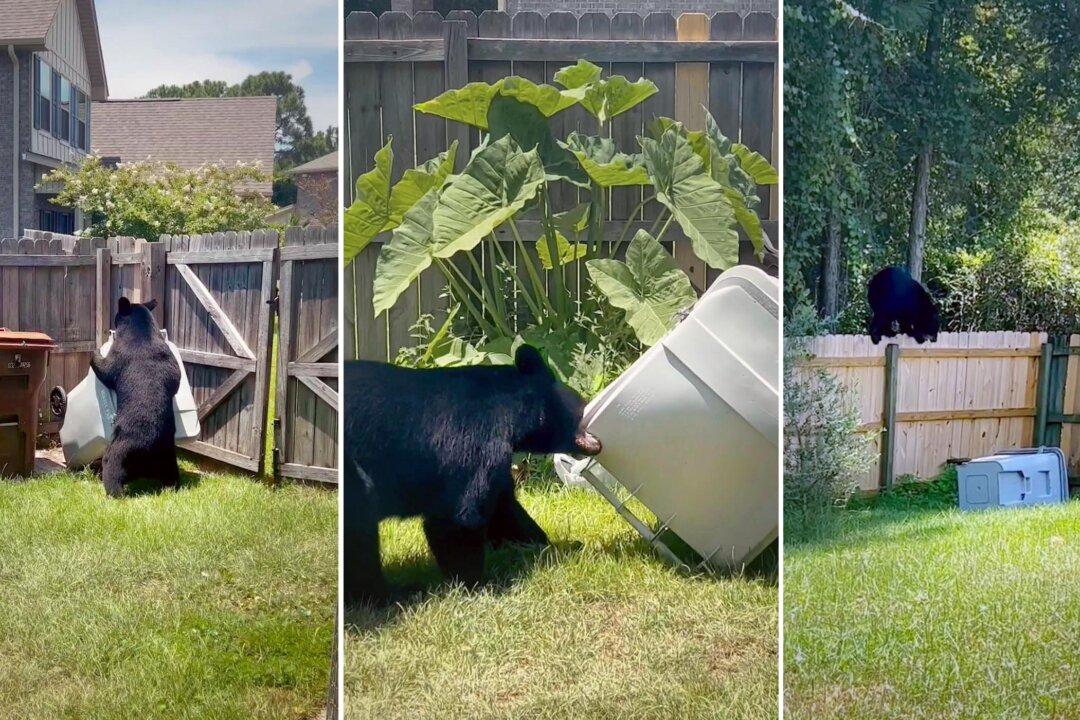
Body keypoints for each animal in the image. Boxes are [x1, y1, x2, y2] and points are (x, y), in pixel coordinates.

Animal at [90, 297, 181, 497]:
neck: (142, 331)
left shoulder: (119, 353)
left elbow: (106, 369)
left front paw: (95, 352)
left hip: (120, 449)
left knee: (111, 466)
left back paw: (113, 492)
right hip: (169, 454)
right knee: (171, 473)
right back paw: (172, 486)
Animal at [343, 344, 602, 606]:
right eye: (581, 403)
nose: (596, 441)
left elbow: (504, 507)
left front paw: (551, 545)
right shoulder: (475, 441)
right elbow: (459, 515)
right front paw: (476, 585)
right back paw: (390, 594)